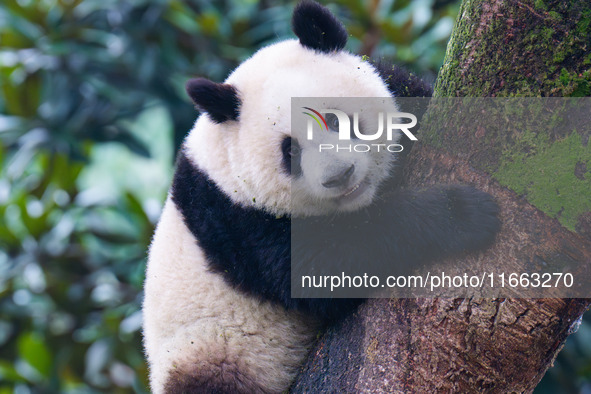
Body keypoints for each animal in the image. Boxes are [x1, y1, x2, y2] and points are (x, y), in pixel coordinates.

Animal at [143, 1, 500, 392]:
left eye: (335, 119)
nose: (339, 176)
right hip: (212, 354)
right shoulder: (236, 220)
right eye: (290, 150)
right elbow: (323, 265)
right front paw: (463, 214)